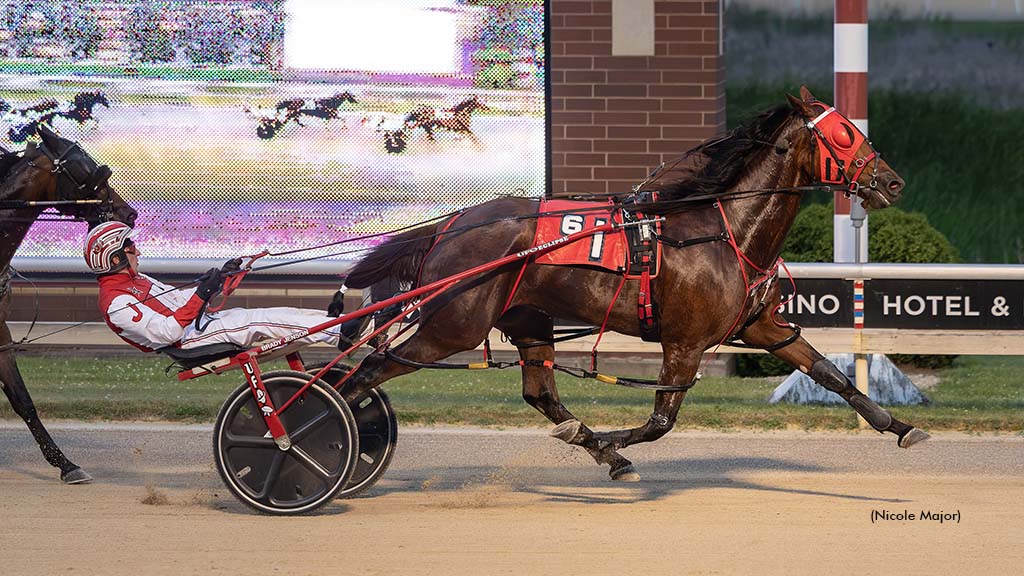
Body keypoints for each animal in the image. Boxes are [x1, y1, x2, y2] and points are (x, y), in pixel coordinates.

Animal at [336, 87, 926, 482]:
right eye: (843, 133)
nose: (894, 182)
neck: (725, 230)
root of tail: (450, 224)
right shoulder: (684, 342)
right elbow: (661, 420)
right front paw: (615, 439)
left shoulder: (761, 325)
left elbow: (829, 372)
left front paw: (898, 425)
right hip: (453, 324)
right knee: (367, 370)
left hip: (525, 317)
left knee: (540, 392)